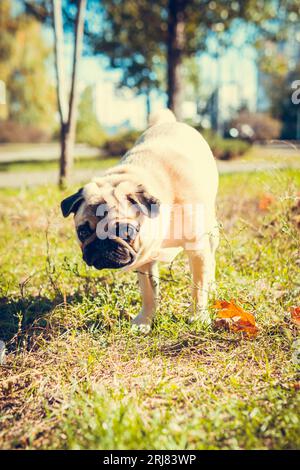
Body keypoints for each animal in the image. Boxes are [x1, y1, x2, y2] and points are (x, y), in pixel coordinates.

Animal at [61, 109, 220, 332]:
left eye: (125, 232)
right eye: (82, 232)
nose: (101, 244)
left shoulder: (197, 250)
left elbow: (198, 286)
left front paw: (198, 316)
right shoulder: (144, 260)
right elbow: (148, 293)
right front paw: (145, 321)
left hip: (212, 233)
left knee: (211, 262)